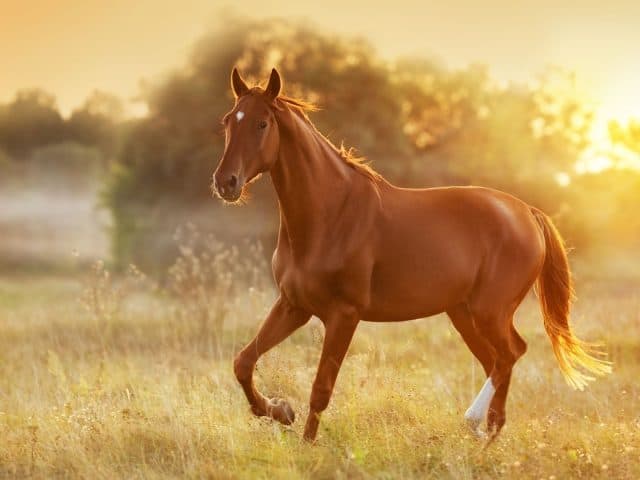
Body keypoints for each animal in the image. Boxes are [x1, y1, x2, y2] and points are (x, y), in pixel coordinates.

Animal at [212, 67, 611, 443]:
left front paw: (305, 444)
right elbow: (243, 362)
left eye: (263, 123)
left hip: (489, 312)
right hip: (464, 314)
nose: (225, 182)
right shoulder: (294, 306)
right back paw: (482, 434)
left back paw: (477, 423)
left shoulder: (344, 315)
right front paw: (279, 410)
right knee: (497, 363)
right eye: (228, 120)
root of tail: (527, 212)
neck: (330, 214)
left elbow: (321, 390)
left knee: (510, 354)